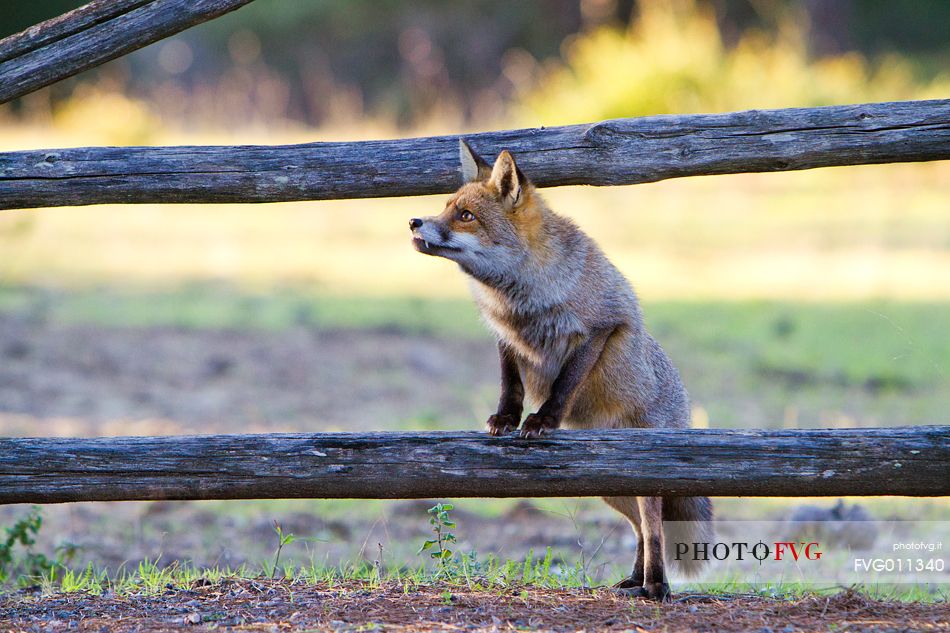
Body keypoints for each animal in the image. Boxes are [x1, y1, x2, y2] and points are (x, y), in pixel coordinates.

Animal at [410, 141, 712, 600]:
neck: (519, 298)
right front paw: (506, 419)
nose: (413, 220)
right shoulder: (506, 340)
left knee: (654, 528)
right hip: (612, 489)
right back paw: (634, 580)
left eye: (465, 216)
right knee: (641, 529)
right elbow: (510, 386)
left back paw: (655, 586)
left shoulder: (598, 329)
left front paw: (542, 422)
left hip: (645, 477)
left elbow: (565, 383)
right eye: (445, 208)